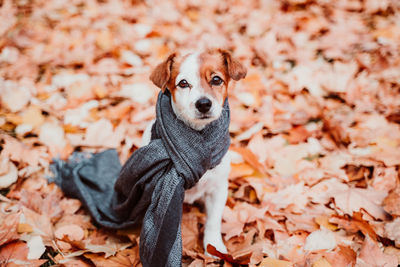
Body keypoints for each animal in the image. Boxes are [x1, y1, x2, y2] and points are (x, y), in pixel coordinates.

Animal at [142, 49, 245, 256]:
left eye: (216, 79)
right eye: (183, 83)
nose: (203, 103)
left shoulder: (218, 189)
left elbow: (213, 221)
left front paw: (214, 247)